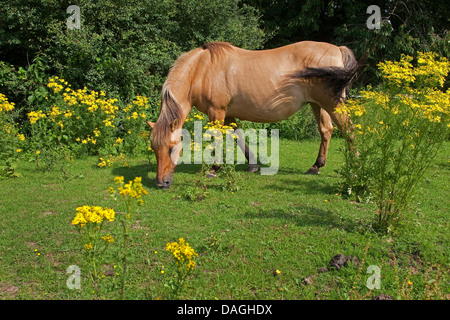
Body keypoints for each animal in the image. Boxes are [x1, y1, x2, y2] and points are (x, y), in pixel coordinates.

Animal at [148, 41, 358, 189]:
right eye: (154, 148)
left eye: (172, 148)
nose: (161, 183)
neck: (202, 69)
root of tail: (338, 49)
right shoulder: (228, 114)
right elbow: (238, 136)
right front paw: (253, 164)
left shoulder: (217, 112)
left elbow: (219, 138)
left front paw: (213, 169)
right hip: (318, 105)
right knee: (326, 131)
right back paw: (316, 166)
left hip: (332, 104)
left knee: (348, 130)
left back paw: (355, 167)